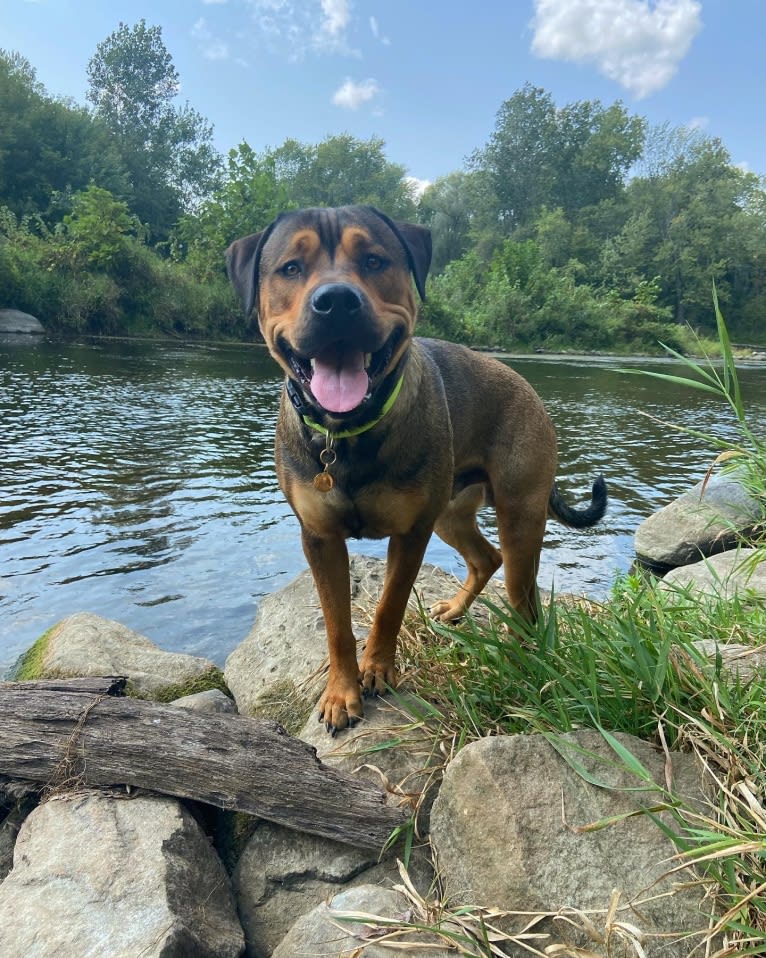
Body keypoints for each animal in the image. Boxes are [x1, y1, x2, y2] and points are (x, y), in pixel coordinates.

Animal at [225, 206, 608, 736]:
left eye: (373, 259)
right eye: (291, 268)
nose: (337, 302)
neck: (349, 433)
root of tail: (525, 385)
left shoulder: (411, 533)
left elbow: (389, 606)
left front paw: (378, 671)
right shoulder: (320, 537)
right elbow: (337, 625)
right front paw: (341, 693)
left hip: (518, 516)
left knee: (523, 597)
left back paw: (521, 655)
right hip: (451, 513)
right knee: (485, 558)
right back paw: (457, 608)